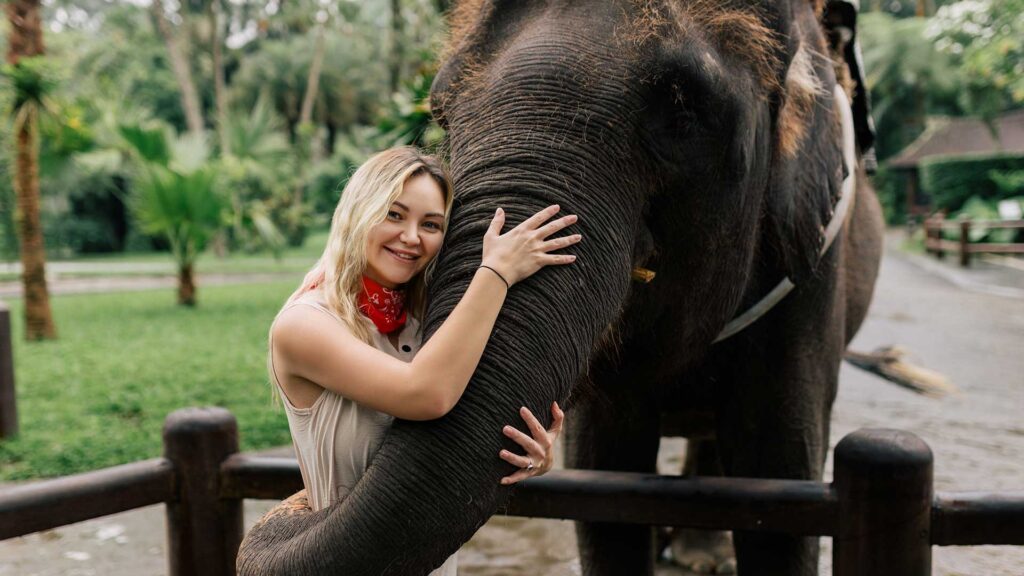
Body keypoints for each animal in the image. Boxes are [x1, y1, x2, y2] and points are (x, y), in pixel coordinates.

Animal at [237, 0, 884, 574]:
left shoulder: (809, 270)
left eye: (684, 112)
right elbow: (609, 488)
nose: (294, 505)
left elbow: (780, 482)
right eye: (441, 112)